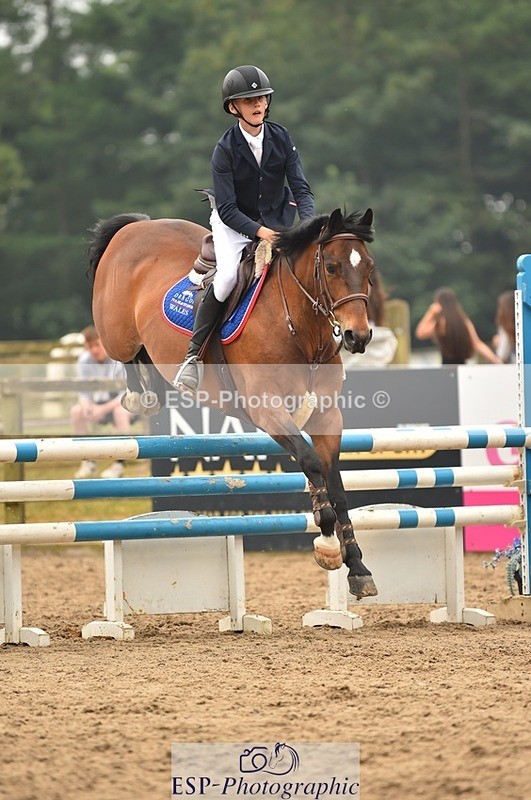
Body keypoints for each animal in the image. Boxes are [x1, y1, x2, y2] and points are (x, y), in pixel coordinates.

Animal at [88, 207, 378, 598]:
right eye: (331, 267)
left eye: (369, 267)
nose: (357, 336)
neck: (302, 331)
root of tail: (138, 226)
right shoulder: (266, 408)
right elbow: (309, 461)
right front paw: (328, 542)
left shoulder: (326, 416)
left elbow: (337, 485)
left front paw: (358, 567)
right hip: (116, 333)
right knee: (126, 354)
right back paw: (141, 397)